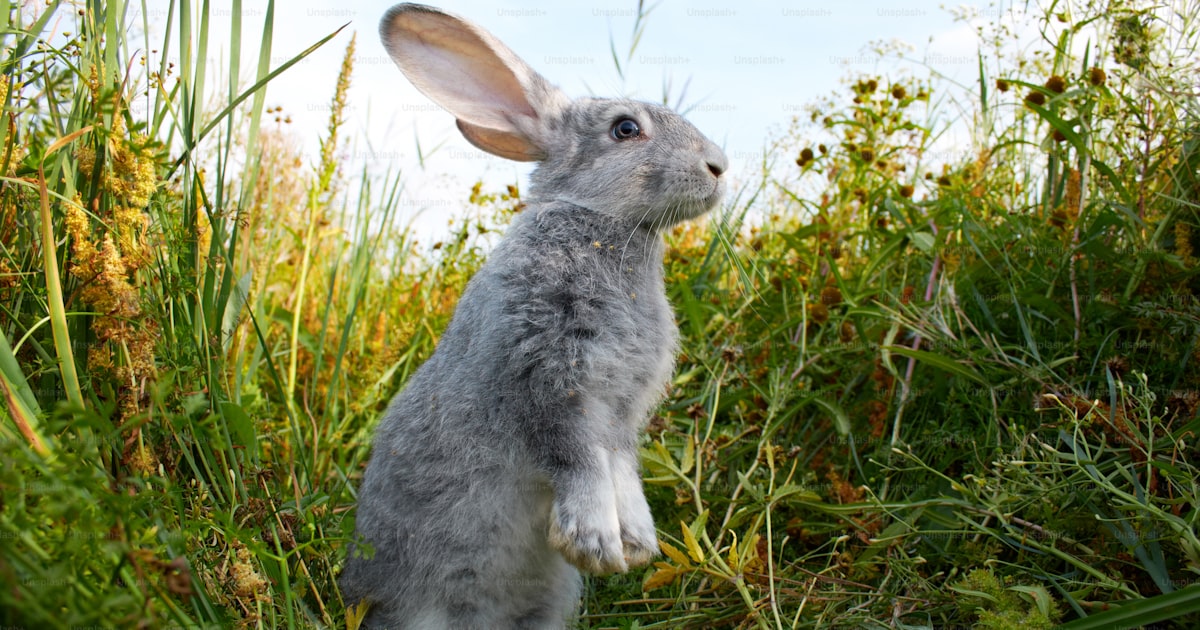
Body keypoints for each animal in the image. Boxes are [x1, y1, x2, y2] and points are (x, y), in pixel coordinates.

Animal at [339, 4, 727, 628]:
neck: (601, 225)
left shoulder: (622, 413)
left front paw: (638, 544)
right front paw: (595, 544)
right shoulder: (545, 376)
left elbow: (621, 468)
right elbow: (578, 459)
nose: (718, 166)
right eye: (625, 129)